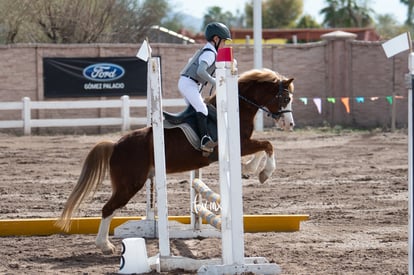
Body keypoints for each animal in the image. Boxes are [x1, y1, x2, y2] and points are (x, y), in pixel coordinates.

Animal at [55, 68, 294, 256]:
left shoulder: (244, 144)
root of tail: (115, 145)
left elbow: (264, 146)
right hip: (129, 185)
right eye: (285, 99)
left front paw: (250, 168)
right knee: (108, 208)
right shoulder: (241, 144)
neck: (235, 108)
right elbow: (268, 145)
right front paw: (263, 172)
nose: (290, 125)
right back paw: (104, 246)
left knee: (110, 208)